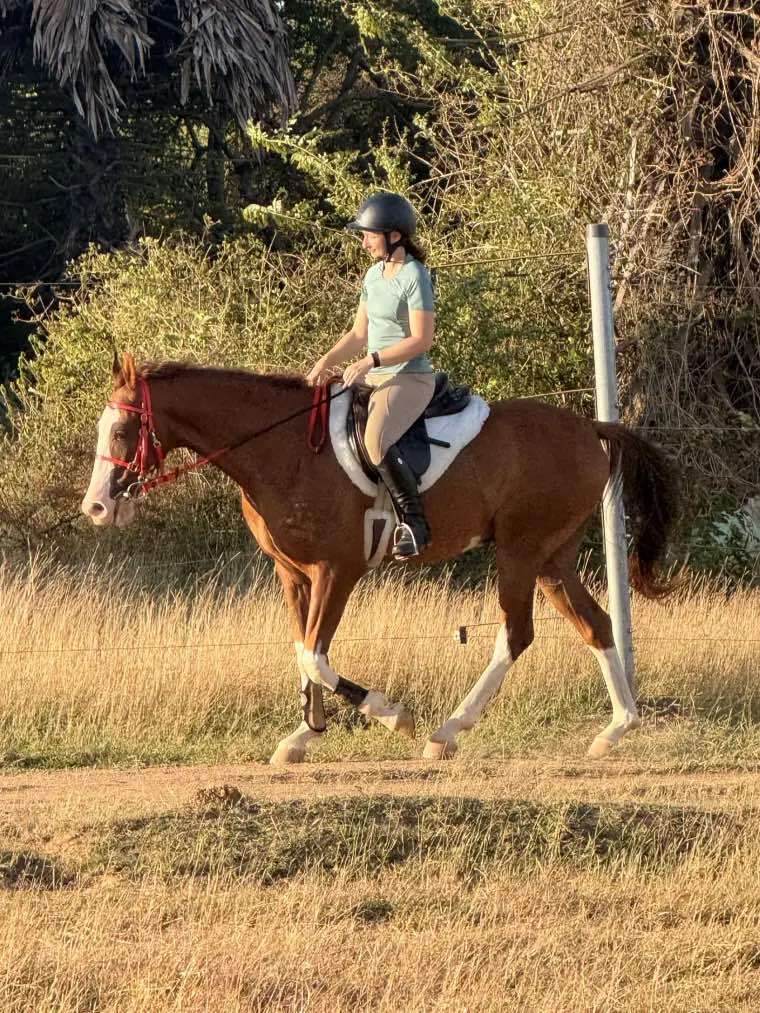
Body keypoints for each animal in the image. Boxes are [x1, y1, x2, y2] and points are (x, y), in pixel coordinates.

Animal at [82, 353, 679, 765]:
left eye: (123, 430)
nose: (97, 507)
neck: (283, 452)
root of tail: (589, 427)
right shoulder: (292, 575)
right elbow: (302, 652)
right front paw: (301, 738)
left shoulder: (336, 571)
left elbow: (315, 656)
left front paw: (393, 716)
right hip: (553, 557)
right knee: (595, 624)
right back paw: (616, 728)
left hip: (520, 550)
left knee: (515, 633)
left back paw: (446, 733)